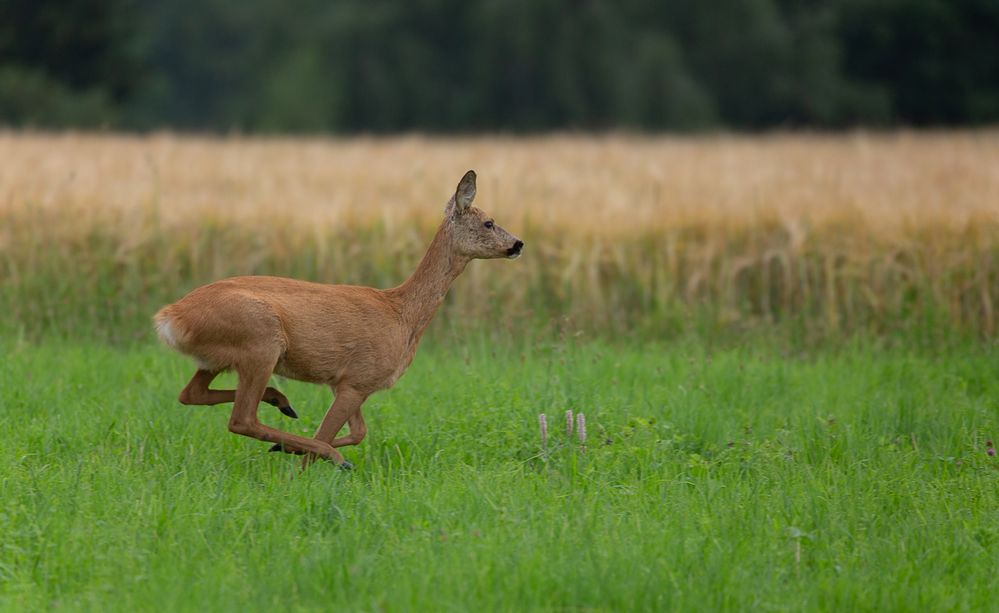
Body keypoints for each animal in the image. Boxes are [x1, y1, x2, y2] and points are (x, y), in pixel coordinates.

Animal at [154, 170, 524, 466]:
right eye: (489, 222)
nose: (519, 243)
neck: (402, 314)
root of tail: (168, 317)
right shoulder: (357, 379)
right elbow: (330, 434)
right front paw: (303, 468)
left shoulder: (347, 382)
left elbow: (359, 432)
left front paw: (287, 450)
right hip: (260, 342)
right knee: (242, 418)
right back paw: (324, 449)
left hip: (218, 357)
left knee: (190, 394)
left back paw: (283, 406)